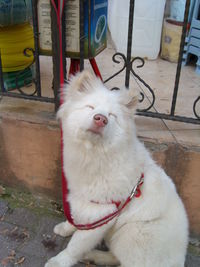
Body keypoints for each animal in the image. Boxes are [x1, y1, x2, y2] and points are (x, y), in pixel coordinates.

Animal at [44, 70, 188, 267]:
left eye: (112, 115)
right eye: (91, 107)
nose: (101, 119)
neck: (95, 154)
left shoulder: (102, 213)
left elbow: (76, 244)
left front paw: (59, 261)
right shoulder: (82, 200)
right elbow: (75, 219)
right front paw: (65, 228)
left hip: (130, 234)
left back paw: (93, 255)